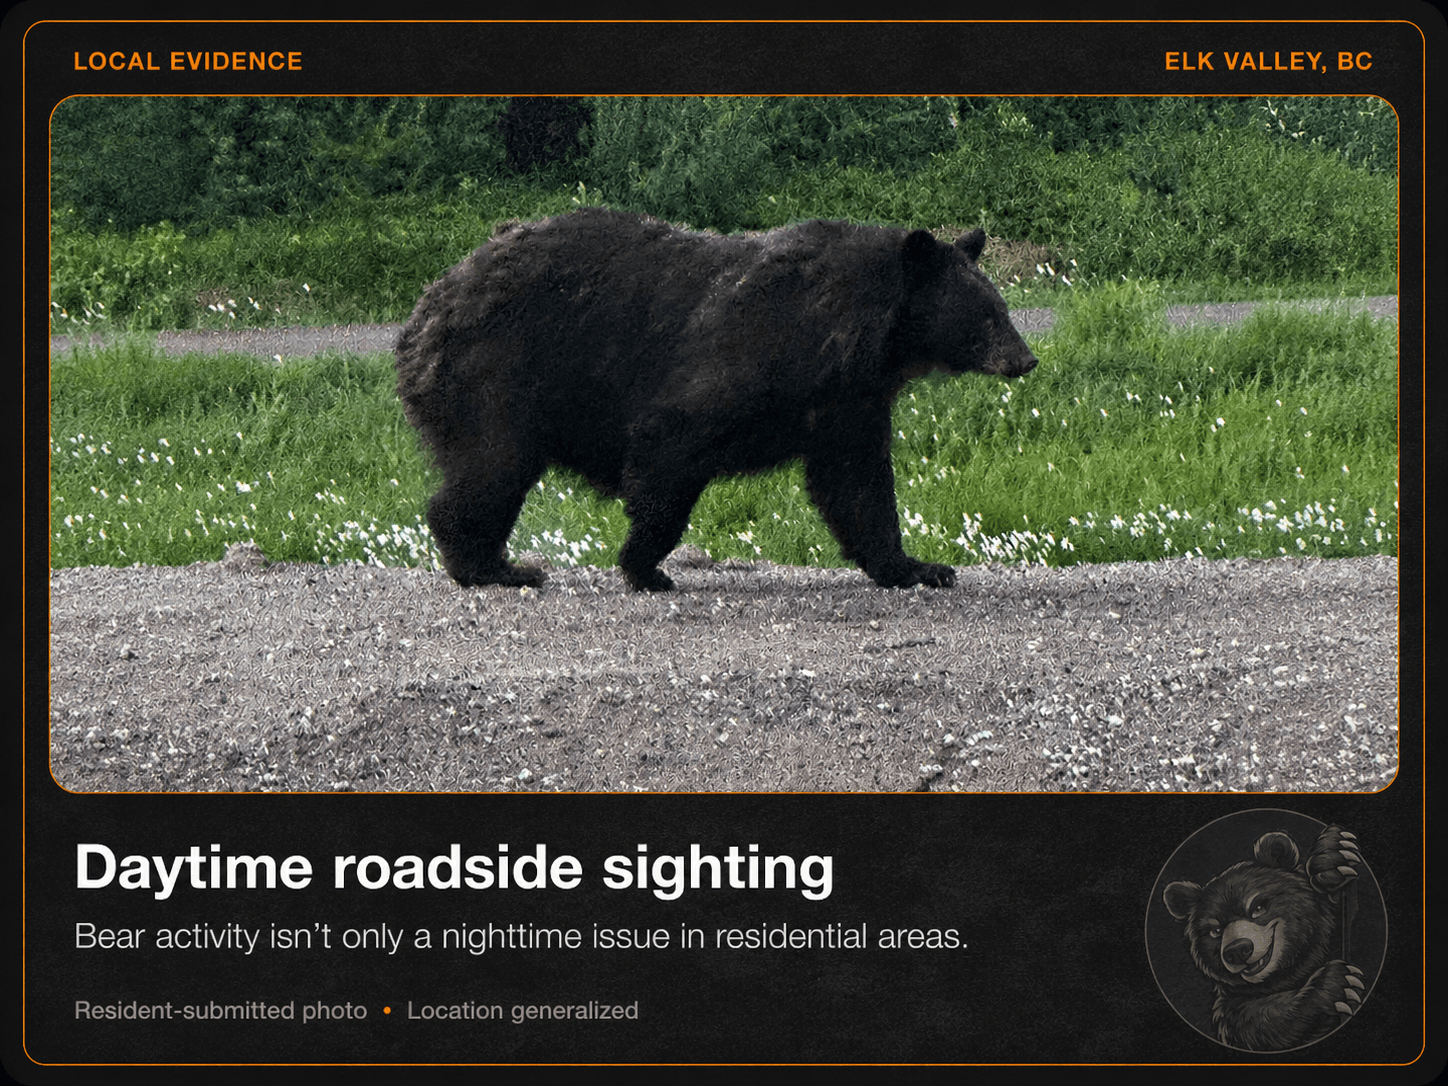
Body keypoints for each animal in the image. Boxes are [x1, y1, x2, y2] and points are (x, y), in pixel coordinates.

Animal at [394, 207, 1038, 592]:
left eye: (1001, 307)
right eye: (985, 316)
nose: (1026, 358)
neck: (849, 336)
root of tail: (429, 304)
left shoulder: (847, 402)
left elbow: (858, 485)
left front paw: (918, 566)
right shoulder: (746, 355)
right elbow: (671, 440)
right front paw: (645, 566)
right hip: (496, 371)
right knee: (492, 467)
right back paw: (497, 568)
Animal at [1162, 825, 1366, 1051]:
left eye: (1258, 907)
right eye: (1215, 930)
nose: (1238, 950)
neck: (1288, 974)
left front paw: (1334, 853)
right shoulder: (1235, 1005)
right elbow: (1261, 1023)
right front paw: (1338, 984)